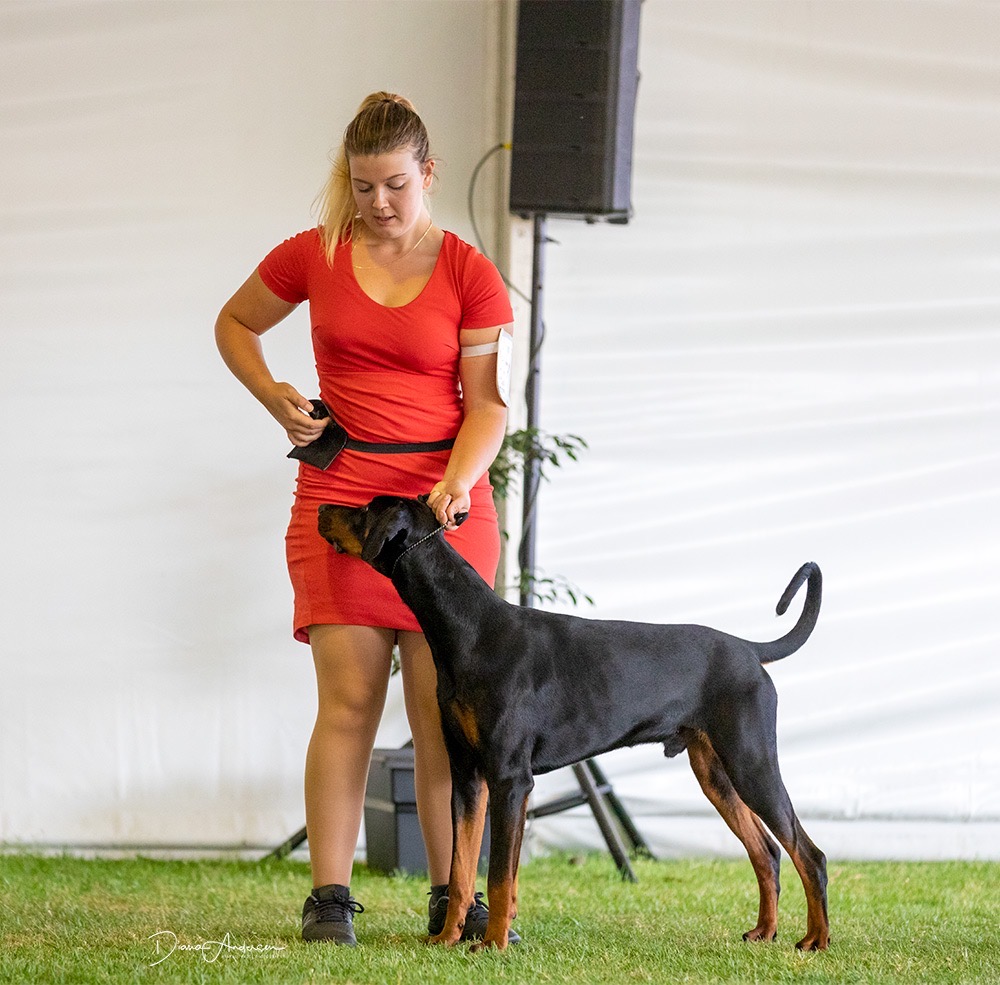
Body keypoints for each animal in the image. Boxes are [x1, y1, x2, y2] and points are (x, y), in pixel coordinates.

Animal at [318, 496, 828, 948]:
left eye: (365, 509)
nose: (320, 507)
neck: (471, 629)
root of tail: (749, 649)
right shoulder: (466, 776)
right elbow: (462, 869)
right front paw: (447, 939)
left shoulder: (510, 779)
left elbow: (499, 874)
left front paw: (493, 944)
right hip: (715, 772)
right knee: (767, 851)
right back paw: (764, 932)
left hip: (751, 762)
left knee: (809, 853)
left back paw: (815, 939)